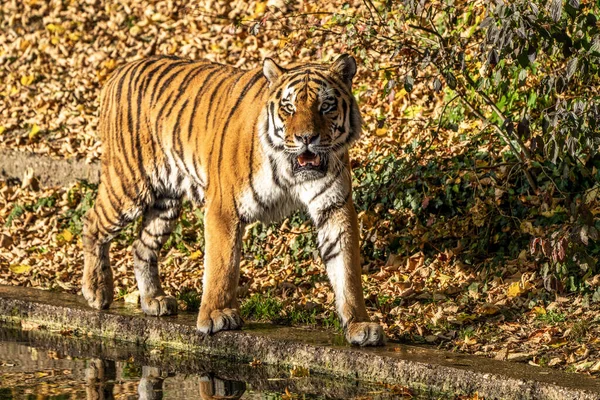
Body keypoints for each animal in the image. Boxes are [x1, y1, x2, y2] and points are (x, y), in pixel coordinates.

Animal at [82, 53, 384, 346]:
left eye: (326, 106)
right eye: (289, 107)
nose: (306, 138)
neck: (291, 171)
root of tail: (120, 71)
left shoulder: (334, 207)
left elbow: (347, 270)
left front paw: (359, 325)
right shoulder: (223, 207)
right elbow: (222, 264)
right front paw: (216, 316)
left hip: (165, 202)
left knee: (141, 246)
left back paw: (153, 300)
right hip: (129, 185)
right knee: (92, 223)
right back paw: (96, 290)